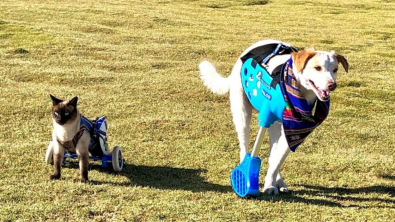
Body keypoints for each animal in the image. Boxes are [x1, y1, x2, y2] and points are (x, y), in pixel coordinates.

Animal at [200, 40, 348, 194]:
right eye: (317, 68)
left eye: (335, 69)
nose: (332, 85)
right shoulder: (270, 118)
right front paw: (262, 182)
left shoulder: (292, 130)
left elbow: (277, 159)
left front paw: (270, 183)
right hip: (242, 112)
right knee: (244, 146)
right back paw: (243, 170)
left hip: (276, 126)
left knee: (273, 152)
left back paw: (279, 181)